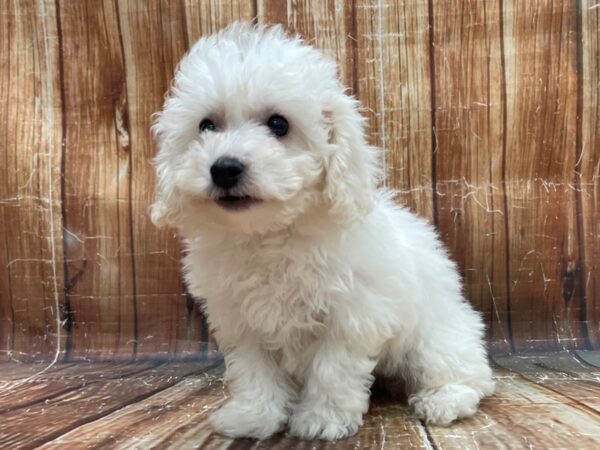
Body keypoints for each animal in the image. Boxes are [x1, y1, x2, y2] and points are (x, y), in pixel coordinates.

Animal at [152, 22, 494, 442]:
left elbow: (333, 369)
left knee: (466, 373)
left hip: (436, 336)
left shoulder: (351, 313)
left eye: (279, 124)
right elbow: (254, 371)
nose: (225, 168)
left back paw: (444, 399)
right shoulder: (241, 319)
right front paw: (253, 417)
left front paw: (322, 419)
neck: (270, 235)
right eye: (206, 125)